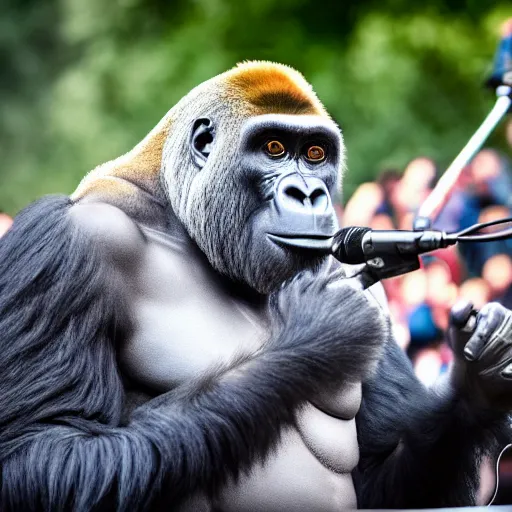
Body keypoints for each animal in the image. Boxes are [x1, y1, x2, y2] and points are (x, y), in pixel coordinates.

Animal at [1, 61, 512, 512]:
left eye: (315, 154)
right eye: (273, 147)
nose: (308, 193)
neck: (177, 215)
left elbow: (382, 482)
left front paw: (476, 384)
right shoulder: (70, 243)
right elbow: (44, 447)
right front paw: (320, 331)